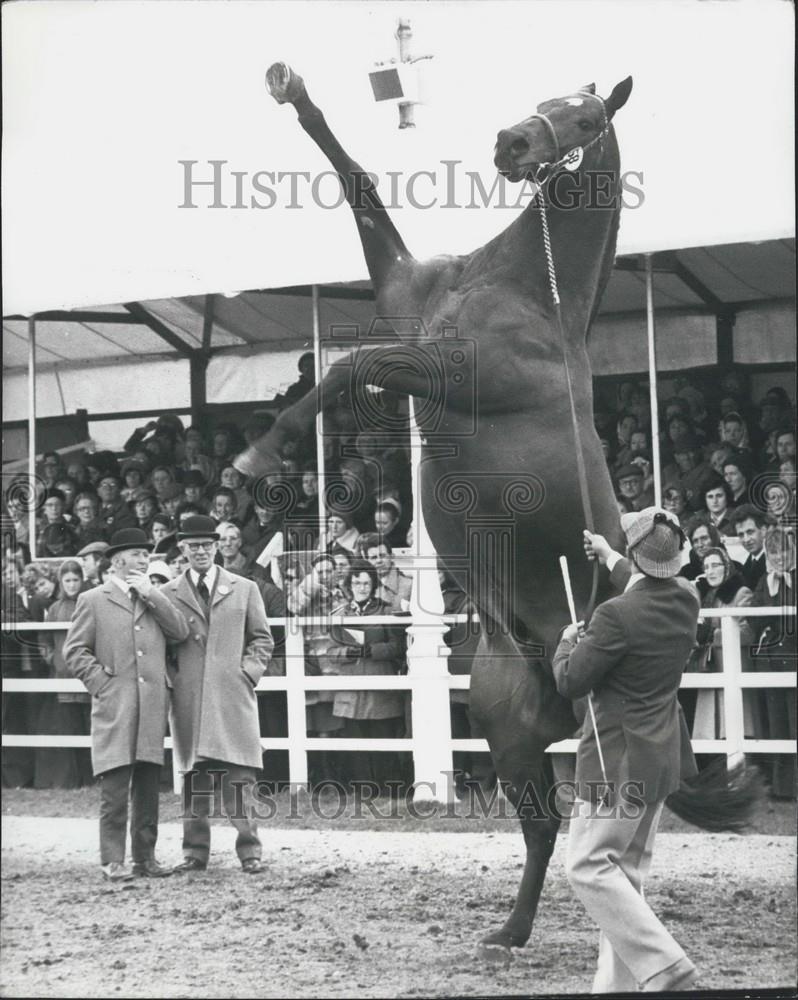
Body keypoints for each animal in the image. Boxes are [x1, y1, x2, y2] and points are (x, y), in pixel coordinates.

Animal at [238, 64, 752, 960]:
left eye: (584, 116)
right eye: (546, 100)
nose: (511, 143)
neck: (520, 291)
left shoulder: (445, 369)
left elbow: (349, 367)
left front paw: (264, 458)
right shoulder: (406, 300)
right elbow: (357, 183)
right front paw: (290, 86)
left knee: (597, 833)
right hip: (508, 734)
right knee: (545, 830)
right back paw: (510, 932)